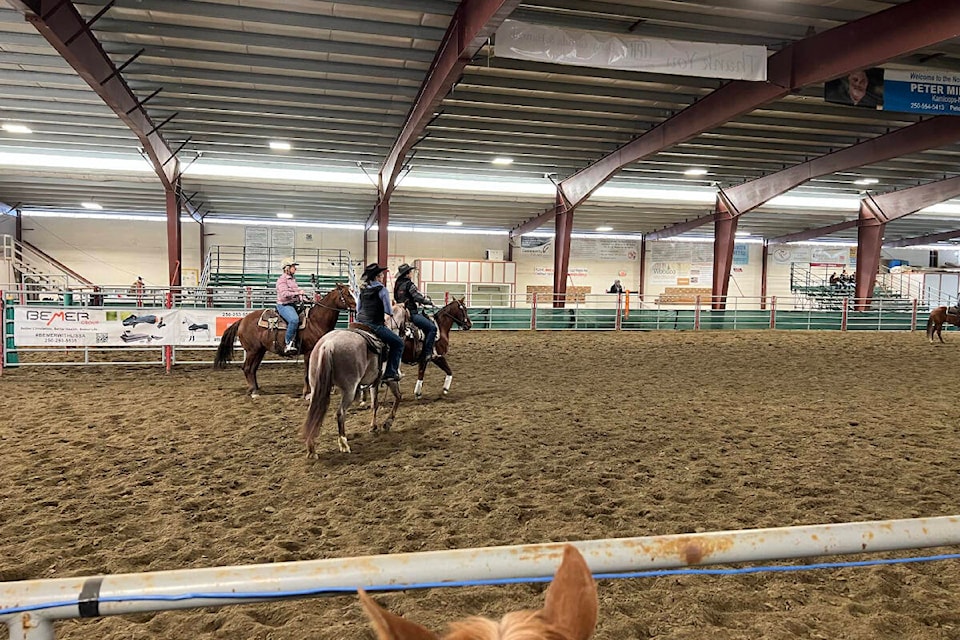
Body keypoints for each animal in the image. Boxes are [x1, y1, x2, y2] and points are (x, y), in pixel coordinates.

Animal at [214, 284, 356, 398]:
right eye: (348, 294)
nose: (356, 306)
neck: (316, 321)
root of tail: (242, 321)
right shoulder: (309, 352)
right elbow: (307, 372)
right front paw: (306, 393)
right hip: (252, 350)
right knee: (247, 368)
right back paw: (253, 391)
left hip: (260, 351)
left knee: (253, 369)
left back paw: (256, 389)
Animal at [304, 304, 408, 456]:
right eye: (408, 315)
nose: (406, 331)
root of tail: (328, 344)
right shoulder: (390, 379)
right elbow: (398, 397)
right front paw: (387, 423)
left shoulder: (374, 382)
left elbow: (375, 404)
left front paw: (373, 426)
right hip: (349, 390)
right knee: (340, 413)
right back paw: (344, 444)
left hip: (315, 387)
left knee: (313, 413)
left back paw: (311, 448)